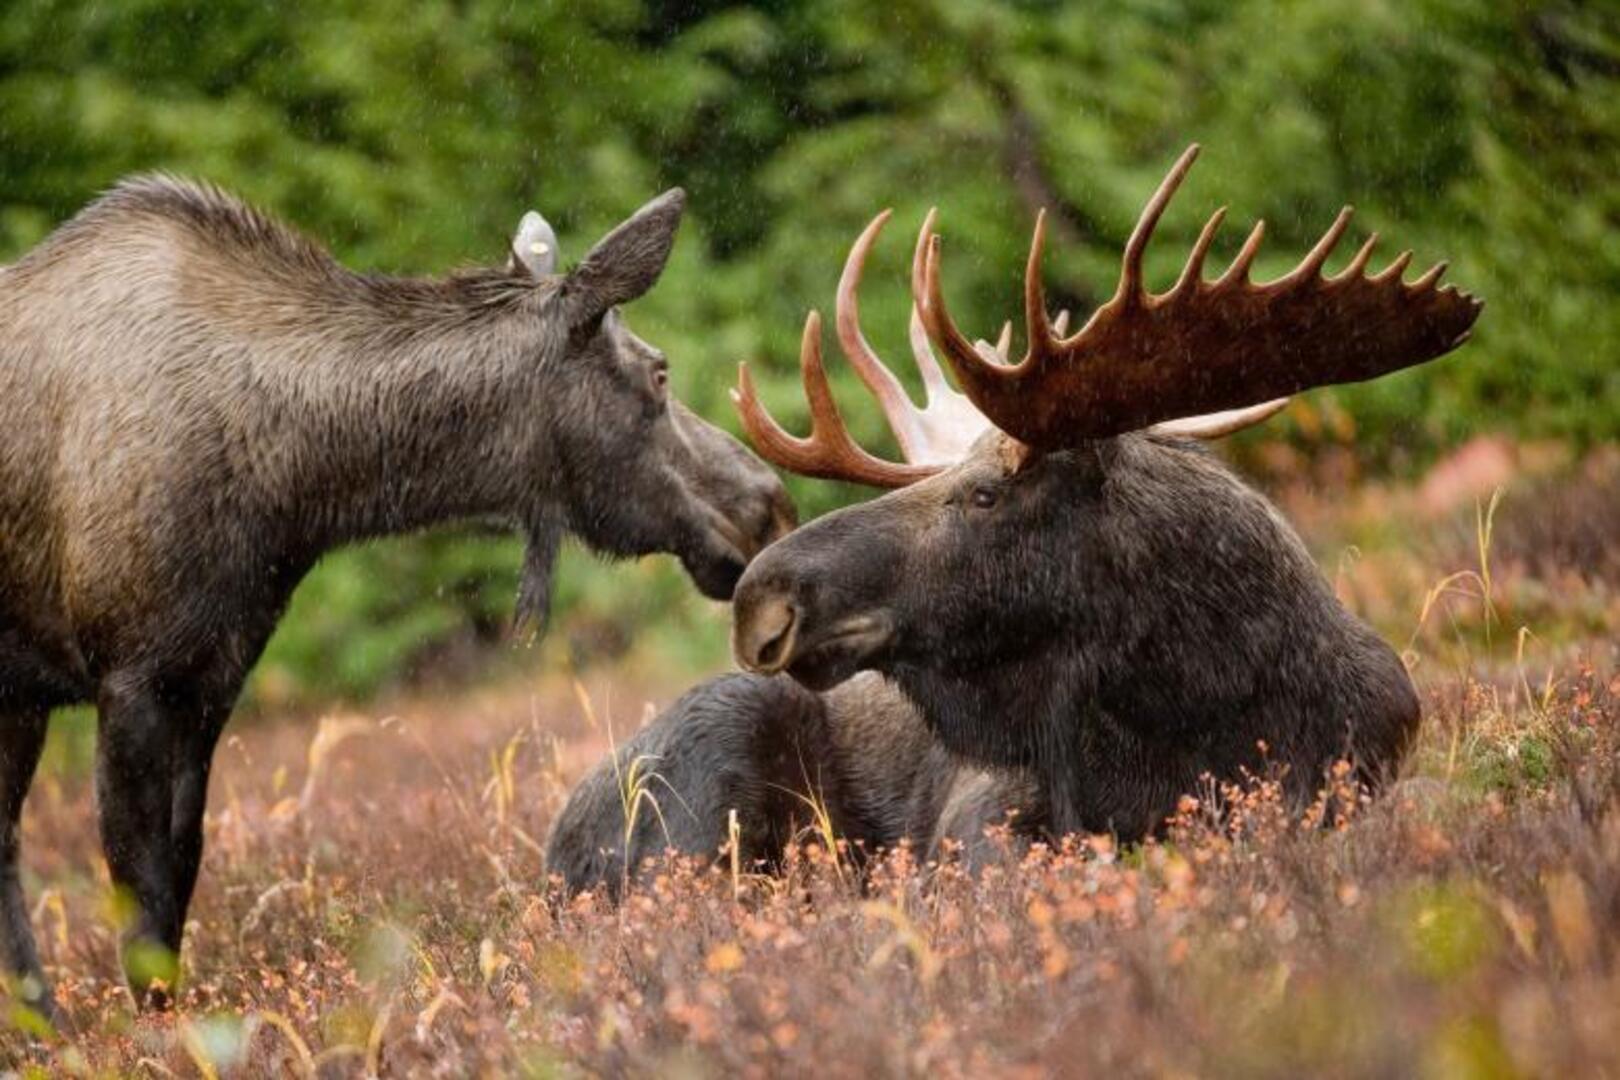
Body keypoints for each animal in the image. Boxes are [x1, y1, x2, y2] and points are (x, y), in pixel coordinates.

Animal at [0, 177, 795, 1013]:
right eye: (659, 371)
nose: (767, 505)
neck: (296, 485)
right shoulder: (131, 676)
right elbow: (142, 898)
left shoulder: (210, 677)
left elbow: (181, 871)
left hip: (19, 700)